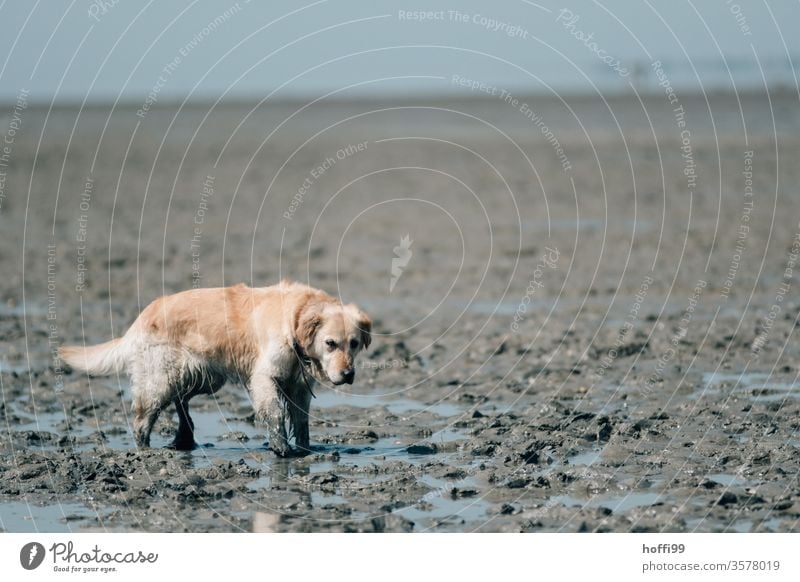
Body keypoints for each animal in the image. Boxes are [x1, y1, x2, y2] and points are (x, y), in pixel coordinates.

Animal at [59, 280, 372, 458]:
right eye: (330, 343)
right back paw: (145, 451)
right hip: (159, 380)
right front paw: (283, 450)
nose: (348, 375)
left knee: (181, 403)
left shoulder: (298, 385)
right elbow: (274, 414)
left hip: (203, 378)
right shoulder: (264, 377)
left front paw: (306, 448)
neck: (294, 321)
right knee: (141, 418)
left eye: (354, 343)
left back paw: (184, 439)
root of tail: (143, 315)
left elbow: (302, 419)